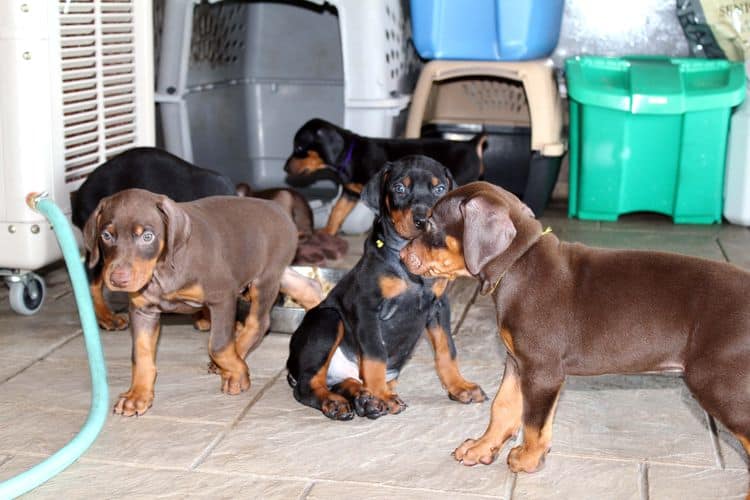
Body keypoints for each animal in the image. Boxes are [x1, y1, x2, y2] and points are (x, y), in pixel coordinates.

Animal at [85, 189, 312, 416]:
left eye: (147, 236)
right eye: (106, 235)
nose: (118, 280)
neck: (162, 271)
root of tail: (277, 207)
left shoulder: (222, 296)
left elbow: (218, 346)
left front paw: (238, 374)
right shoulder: (143, 310)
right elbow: (140, 354)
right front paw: (138, 395)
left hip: (265, 278)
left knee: (259, 323)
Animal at [284, 120, 488, 239]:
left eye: (299, 148)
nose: (284, 168)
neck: (351, 153)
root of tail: (471, 143)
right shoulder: (350, 193)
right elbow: (337, 212)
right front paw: (327, 232)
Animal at [402, 182, 750, 494]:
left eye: (429, 224)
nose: (402, 254)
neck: (518, 264)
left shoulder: (542, 370)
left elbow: (533, 421)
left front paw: (528, 459)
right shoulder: (517, 362)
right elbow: (503, 406)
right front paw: (482, 447)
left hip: (717, 382)